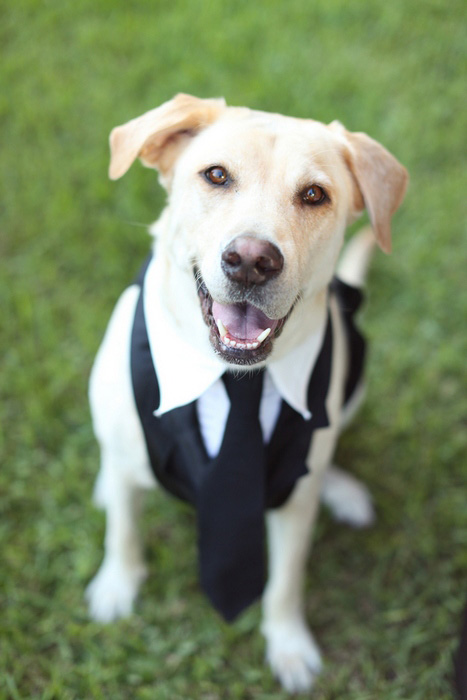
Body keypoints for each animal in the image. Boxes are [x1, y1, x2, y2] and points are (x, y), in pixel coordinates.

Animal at [86, 94, 408, 696]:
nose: (253, 260)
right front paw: (116, 587)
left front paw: (289, 645)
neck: (238, 380)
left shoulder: (293, 507)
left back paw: (341, 488)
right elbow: (124, 530)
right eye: (216, 175)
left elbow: (284, 581)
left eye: (314, 195)